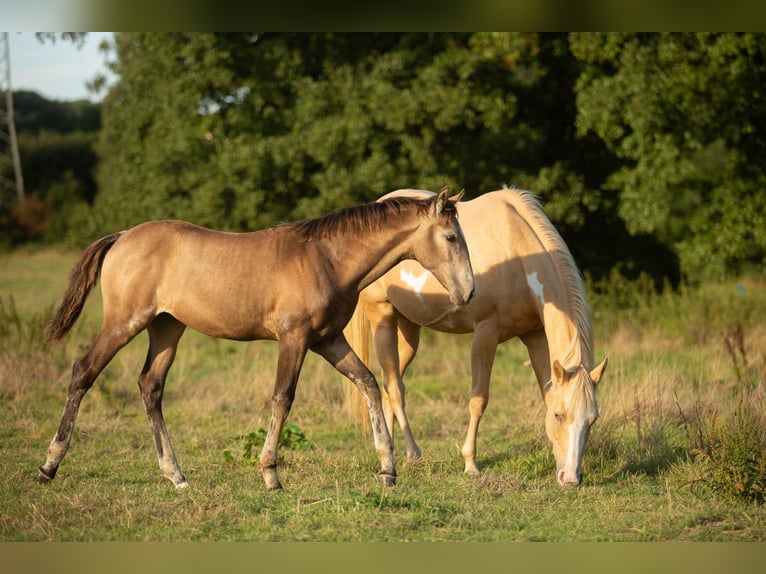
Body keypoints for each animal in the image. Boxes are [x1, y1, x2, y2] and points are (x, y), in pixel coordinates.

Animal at [36, 186, 475, 492]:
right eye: (451, 238)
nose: (469, 293)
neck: (326, 260)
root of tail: (123, 235)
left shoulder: (328, 340)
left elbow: (367, 382)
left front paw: (387, 469)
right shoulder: (294, 339)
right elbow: (282, 398)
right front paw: (270, 475)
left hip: (166, 328)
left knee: (150, 386)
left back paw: (176, 475)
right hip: (123, 324)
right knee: (83, 372)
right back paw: (48, 466)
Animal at [347, 187, 607, 486]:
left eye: (592, 419)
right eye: (559, 415)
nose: (571, 477)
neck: (518, 256)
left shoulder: (534, 336)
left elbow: (546, 391)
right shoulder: (485, 333)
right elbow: (478, 400)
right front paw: (470, 463)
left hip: (410, 331)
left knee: (391, 381)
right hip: (383, 319)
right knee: (394, 387)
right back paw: (412, 453)